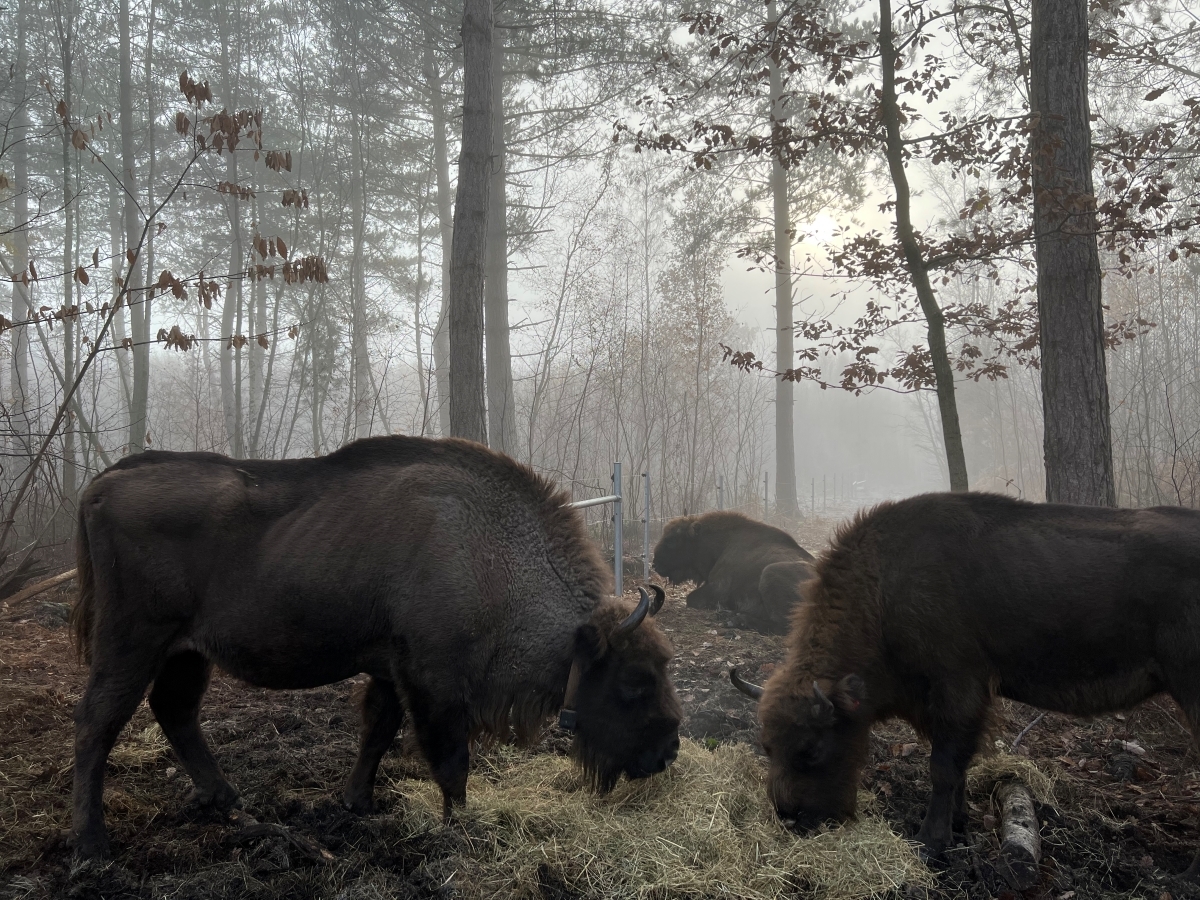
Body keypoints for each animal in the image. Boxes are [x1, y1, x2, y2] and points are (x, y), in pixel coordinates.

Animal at [70, 436, 681, 859]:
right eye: (633, 680)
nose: (668, 752)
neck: (490, 555)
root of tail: (103, 482)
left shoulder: (390, 671)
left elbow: (379, 730)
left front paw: (356, 802)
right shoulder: (435, 680)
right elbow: (450, 757)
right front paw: (459, 826)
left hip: (187, 652)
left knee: (174, 710)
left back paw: (224, 798)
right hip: (133, 641)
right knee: (97, 721)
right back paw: (92, 843)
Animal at [652, 513, 820, 633]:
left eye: (672, 540)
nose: (654, 564)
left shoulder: (717, 588)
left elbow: (691, 599)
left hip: (769, 573)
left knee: (784, 627)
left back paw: (737, 620)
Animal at [724, 496, 1200, 864]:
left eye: (810, 749)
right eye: (767, 746)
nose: (790, 816)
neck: (886, 586)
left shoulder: (958, 689)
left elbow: (943, 767)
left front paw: (929, 842)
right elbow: (956, 764)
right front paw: (957, 825)